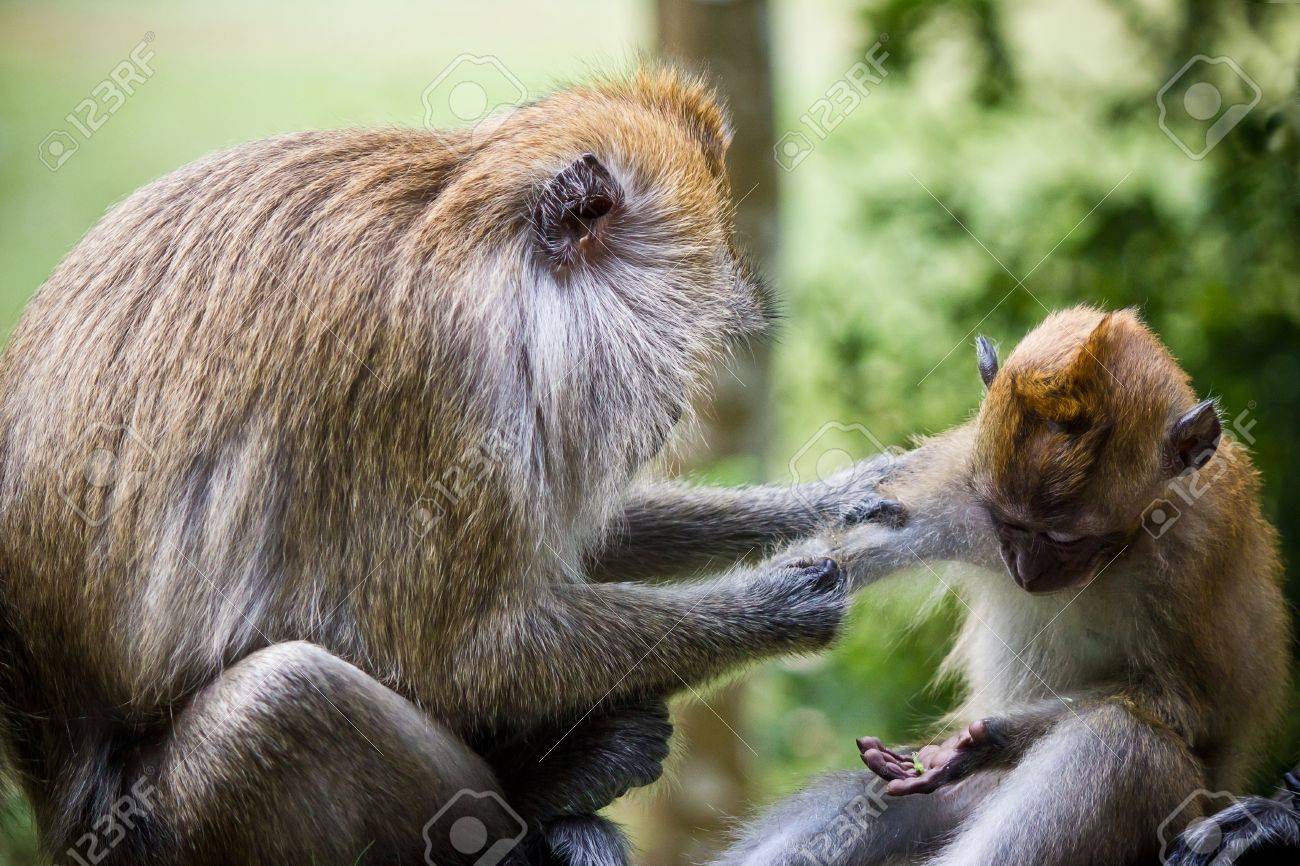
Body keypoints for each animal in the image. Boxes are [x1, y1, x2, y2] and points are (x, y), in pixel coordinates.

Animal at [0, 68, 903, 866]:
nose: (675, 410)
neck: (478, 248)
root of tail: (63, 820)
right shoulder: (434, 379)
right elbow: (461, 653)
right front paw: (782, 600)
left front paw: (843, 500)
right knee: (282, 701)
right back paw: (546, 797)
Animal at [715, 307, 1291, 866]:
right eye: (1008, 524)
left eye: (1068, 539)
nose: (1027, 572)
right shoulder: (958, 478)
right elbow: (836, 554)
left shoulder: (1196, 549)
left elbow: (1187, 707)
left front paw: (985, 742)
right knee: (864, 801)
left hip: (1176, 807)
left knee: (1119, 743)